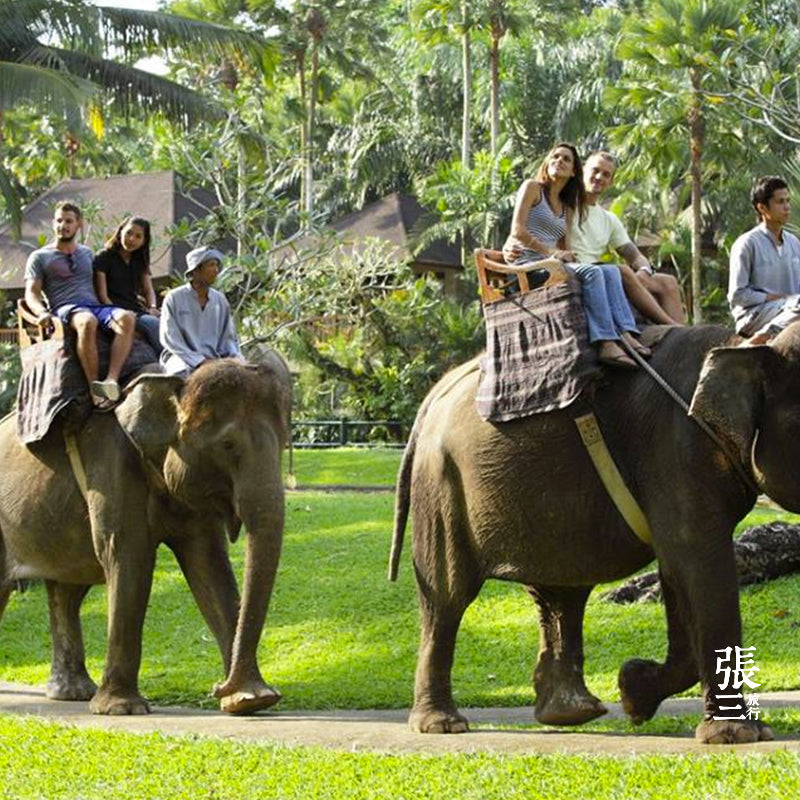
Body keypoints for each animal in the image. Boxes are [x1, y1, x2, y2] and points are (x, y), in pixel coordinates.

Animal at [0, 354, 290, 716]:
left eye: (285, 441)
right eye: (227, 445)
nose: (217, 687)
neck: (171, 385)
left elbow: (209, 564)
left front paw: (250, 699)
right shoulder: (111, 464)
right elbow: (129, 556)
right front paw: (121, 709)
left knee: (67, 591)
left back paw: (73, 692)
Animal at [390, 324, 800, 744]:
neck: (744, 348)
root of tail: (438, 391)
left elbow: (677, 571)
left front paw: (633, 692)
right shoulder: (675, 454)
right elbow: (697, 565)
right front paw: (737, 735)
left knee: (562, 590)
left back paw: (569, 713)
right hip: (441, 486)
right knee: (447, 596)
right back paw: (443, 725)